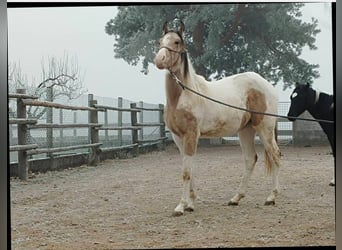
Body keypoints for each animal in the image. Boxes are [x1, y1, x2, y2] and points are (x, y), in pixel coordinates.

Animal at [155, 20, 280, 216]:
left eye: (176, 41)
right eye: (160, 41)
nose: (159, 60)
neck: (184, 95)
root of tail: (267, 85)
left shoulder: (191, 135)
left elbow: (186, 172)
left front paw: (181, 206)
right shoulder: (178, 137)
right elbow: (190, 169)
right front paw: (191, 204)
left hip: (264, 129)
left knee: (274, 156)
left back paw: (271, 197)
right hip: (245, 130)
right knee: (250, 159)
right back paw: (236, 198)